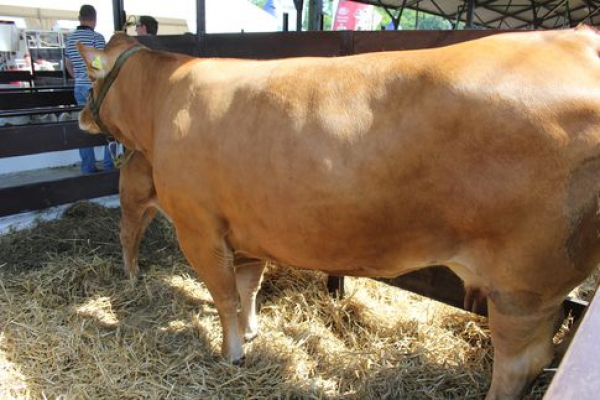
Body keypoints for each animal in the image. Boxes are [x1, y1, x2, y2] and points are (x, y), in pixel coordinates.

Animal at [77, 27, 600, 399]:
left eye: (93, 79)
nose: (80, 114)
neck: (163, 98)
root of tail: (580, 38)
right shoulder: (243, 229)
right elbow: (248, 289)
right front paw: (251, 331)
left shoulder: (199, 228)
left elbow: (224, 296)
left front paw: (231, 353)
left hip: (524, 285)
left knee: (521, 361)